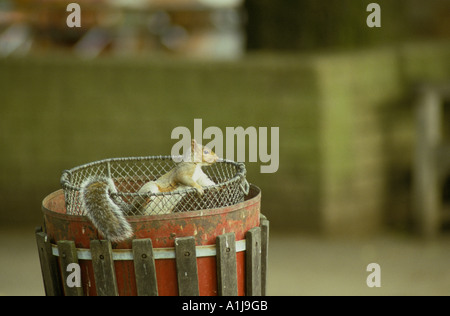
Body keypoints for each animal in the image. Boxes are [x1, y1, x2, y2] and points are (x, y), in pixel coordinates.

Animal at [79, 140, 220, 242]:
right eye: (206, 151)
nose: (217, 158)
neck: (196, 164)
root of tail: (133, 210)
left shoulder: (201, 177)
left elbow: (207, 182)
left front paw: (218, 187)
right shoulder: (183, 172)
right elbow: (186, 180)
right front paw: (198, 188)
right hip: (150, 188)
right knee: (142, 202)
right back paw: (146, 199)